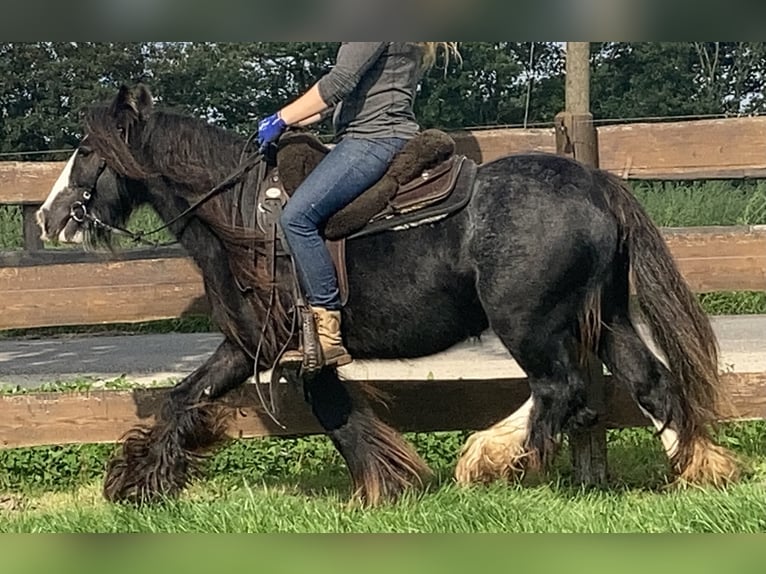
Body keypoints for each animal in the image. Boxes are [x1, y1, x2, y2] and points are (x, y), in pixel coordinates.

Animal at [37, 83, 744, 506]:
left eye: (86, 149)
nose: (47, 217)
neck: (242, 217)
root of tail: (596, 183)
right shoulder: (246, 345)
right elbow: (183, 398)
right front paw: (138, 481)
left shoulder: (295, 345)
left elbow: (335, 415)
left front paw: (384, 486)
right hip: (605, 315)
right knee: (648, 382)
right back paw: (699, 470)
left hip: (530, 322)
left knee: (561, 389)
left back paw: (491, 461)